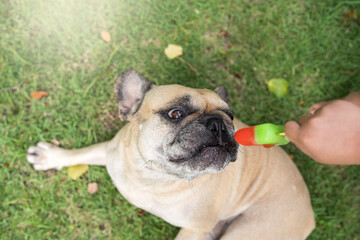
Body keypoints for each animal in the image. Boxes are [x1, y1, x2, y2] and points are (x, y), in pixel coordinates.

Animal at [26, 70, 316, 240]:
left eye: (230, 116)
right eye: (175, 113)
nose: (220, 124)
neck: (154, 176)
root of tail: (310, 214)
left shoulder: (193, 229)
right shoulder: (110, 151)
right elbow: (82, 153)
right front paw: (51, 157)